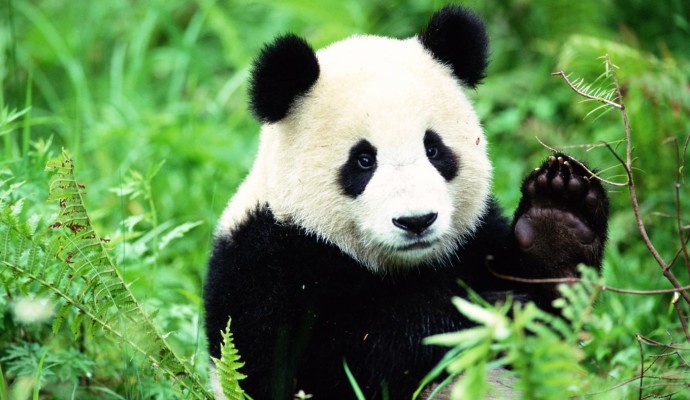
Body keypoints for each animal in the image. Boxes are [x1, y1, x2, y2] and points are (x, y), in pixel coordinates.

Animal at [204, 5, 609, 400]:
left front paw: (557, 221)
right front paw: (483, 315)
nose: (416, 221)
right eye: (363, 160)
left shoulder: (476, 239)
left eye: (434, 150)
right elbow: (320, 366)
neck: (400, 266)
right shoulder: (265, 264)